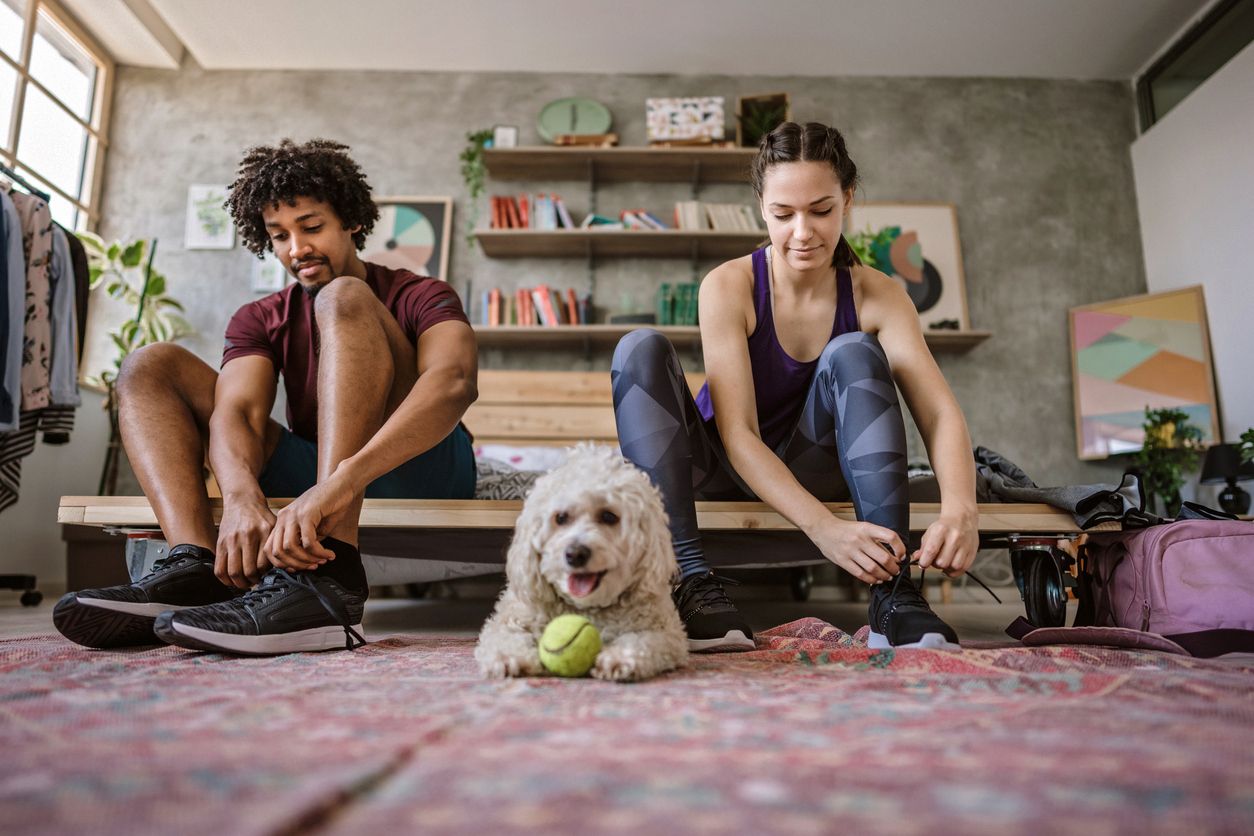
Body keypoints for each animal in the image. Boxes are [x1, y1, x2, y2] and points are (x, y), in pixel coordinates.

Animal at [471, 443, 687, 681]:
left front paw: (619, 658)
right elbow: (504, 637)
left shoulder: (666, 633)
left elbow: (642, 641)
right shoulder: (509, 620)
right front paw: (509, 658)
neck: (586, 606)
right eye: (561, 518)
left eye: (609, 516)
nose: (575, 554)